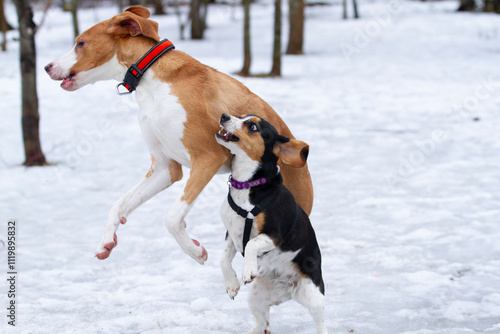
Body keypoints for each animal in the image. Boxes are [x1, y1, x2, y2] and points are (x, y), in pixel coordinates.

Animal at [46, 5, 312, 264]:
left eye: (80, 43)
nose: (47, 67)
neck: (151, 80)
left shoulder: (207, 158)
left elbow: (172, 218)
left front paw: (195, 251)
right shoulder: (165, 167)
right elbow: (120, 203)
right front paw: (106, 241)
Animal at [216, 113, 326, 332]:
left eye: (252, 127)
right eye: (241, 116)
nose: (224, 115)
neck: (247, 186)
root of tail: (289, 289)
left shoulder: (274, 235)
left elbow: (251, 243)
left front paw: (248, 270)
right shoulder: (231, 233)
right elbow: (223, 259)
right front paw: (231, 284)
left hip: (314, 296)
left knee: (321, 323)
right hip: (257, 296)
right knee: (263, 325)